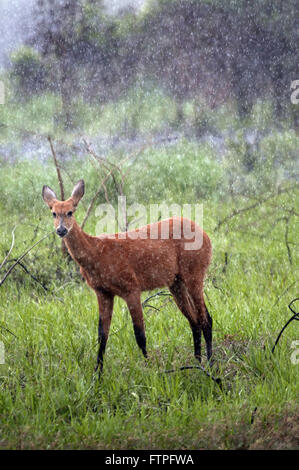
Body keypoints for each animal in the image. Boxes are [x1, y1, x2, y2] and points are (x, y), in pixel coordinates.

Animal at [42, 180, 213, 378]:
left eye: (70, 211)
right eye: (53, 212)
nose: (61, 229)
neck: (96, 254)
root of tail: (207, 237)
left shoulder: (131, 287)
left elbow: (140, 334)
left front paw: (151, 371)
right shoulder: (103, 292)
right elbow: (102, 335)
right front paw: (97, 375)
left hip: (194, 272)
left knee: (206, 319)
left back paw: (211, 365)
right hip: (176, 283)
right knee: (194, 321)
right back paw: (197, 364)